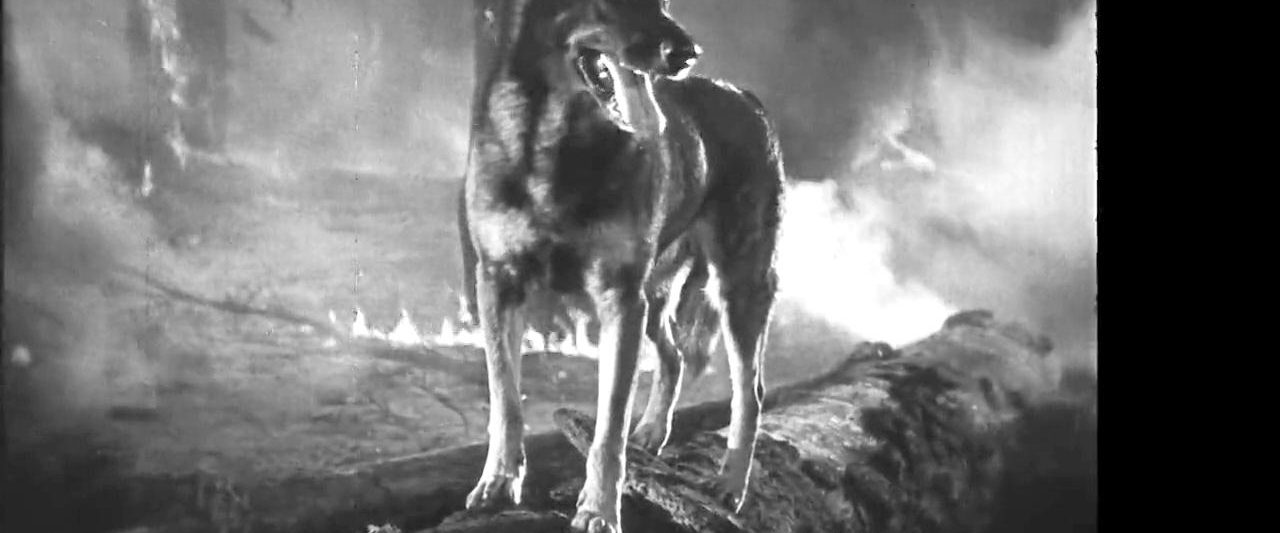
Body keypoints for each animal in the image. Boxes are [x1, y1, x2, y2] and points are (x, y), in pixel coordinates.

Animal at [456, 1, 785, 531]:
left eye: (663, 4)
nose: (688, 54)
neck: (558, 138)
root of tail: (747, 98)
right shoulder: (498, 284)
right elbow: (505, 398)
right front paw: (501, 481)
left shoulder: (618, 301)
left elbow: (608, 427)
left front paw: (598, 509)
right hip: (652, 300)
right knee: (673, 357)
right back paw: (652, 430)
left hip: (735, 289)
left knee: (748, 391)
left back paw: (732, 484)